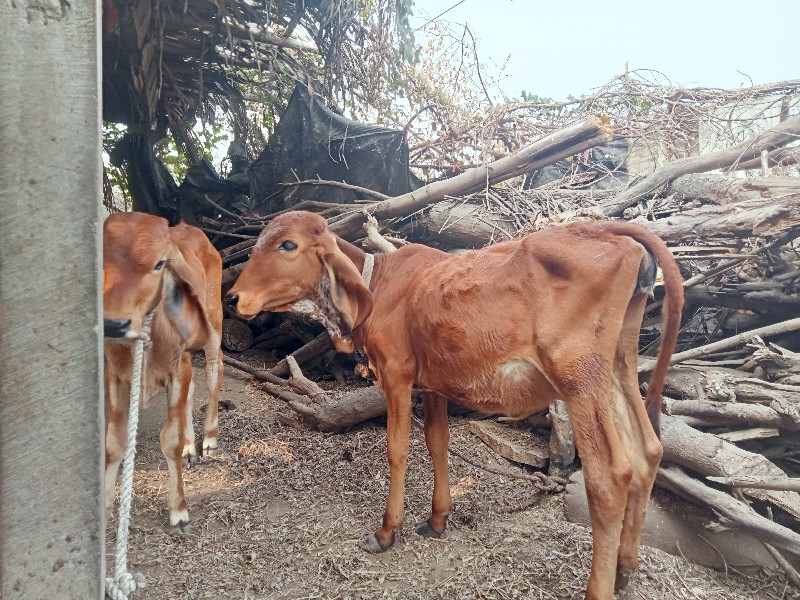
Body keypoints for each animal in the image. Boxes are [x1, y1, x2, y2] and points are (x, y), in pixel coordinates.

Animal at [102, 212, 225, 528]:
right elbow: (113, 443)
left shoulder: (176, 371)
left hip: (213, 323)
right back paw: (192, 447)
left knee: (213, 370)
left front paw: (178, 509)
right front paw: (105, 507)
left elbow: (170, 440)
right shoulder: (115, 376)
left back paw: (209, 439)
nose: (114, 324)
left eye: (159, 263)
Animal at [225, 209, 680, 596]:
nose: (232, 297)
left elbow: (398, 449)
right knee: (648, 452)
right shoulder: (433, 386)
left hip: (579, 379)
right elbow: (437, 441)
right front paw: (437, 518)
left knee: (610, 477)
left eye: (287, 244)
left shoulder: (397, 376)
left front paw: (387, 531)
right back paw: (625, 569)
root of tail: (610, 231)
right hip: (619, 368)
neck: (379, 286)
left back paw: (601, 584)